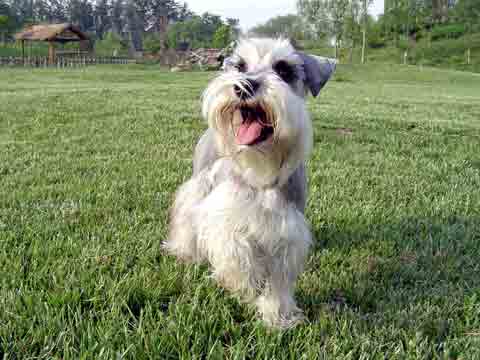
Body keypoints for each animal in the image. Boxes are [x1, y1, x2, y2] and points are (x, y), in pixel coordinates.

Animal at [163, 38, 336, 328]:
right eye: (240, 65)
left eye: (283, 69)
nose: (243, 85)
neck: (261, 171)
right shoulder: (225, 216)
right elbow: (237, 251)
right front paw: (244, 282)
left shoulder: (286, 234)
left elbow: (278, 282)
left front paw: (278, 317)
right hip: (198, 186)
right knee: (187, 219)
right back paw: (184, 252)